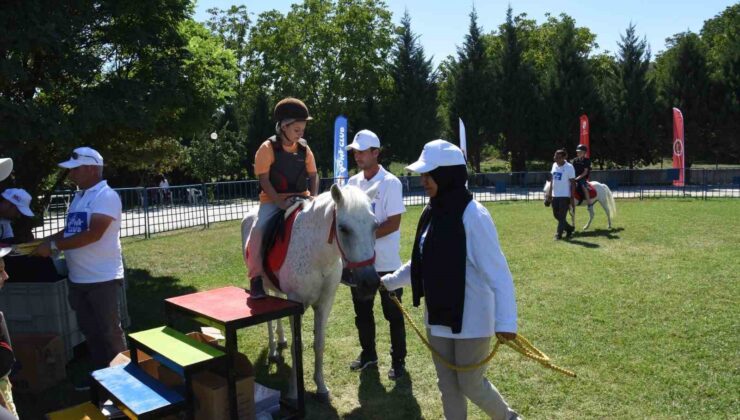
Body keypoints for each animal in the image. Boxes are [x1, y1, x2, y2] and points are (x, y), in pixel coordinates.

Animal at [240, 184, 380, 402]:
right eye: (343, 228)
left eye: (375, 226)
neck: (318, 256)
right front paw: (293, 392)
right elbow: (297, 347)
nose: (370, 282)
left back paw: (281, 339)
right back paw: (273, 349)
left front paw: (321, 387)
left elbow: (319, 344)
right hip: (261, 283)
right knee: (269, 319)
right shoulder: (296, 303)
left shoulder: (325, 303)